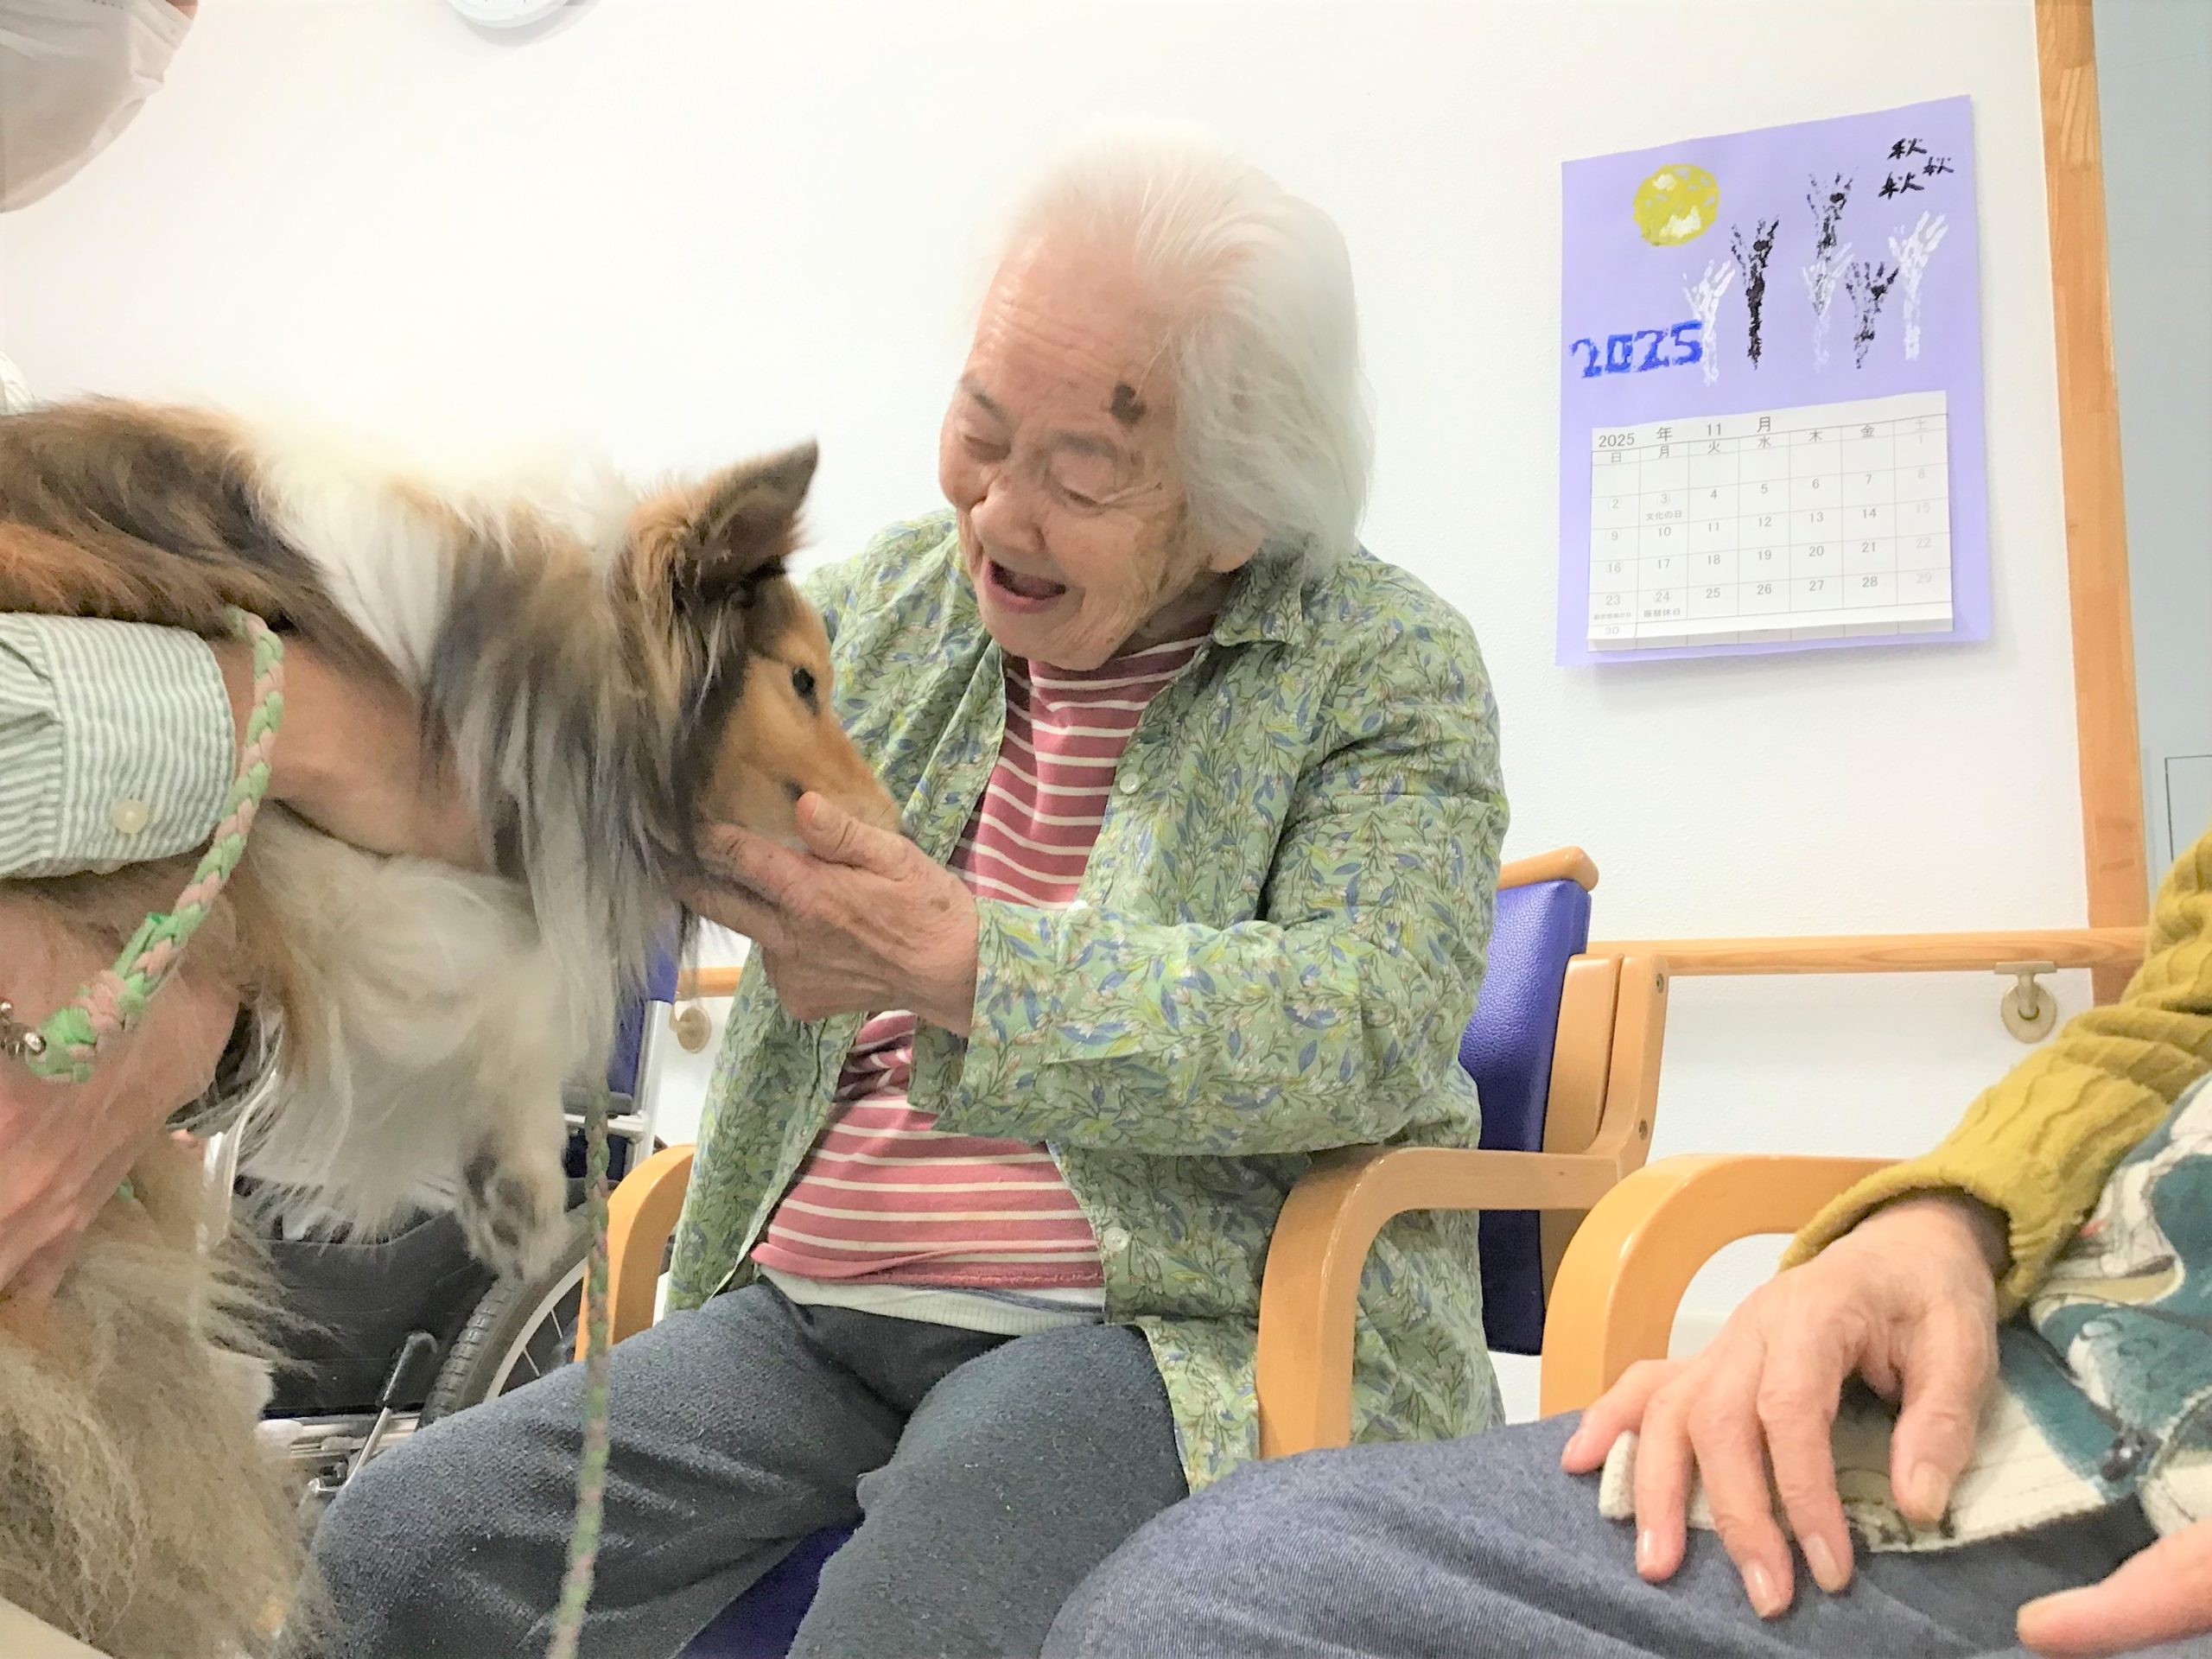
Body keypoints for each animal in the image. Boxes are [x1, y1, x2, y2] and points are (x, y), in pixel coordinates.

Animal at [0, 398, 899, 1655]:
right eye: (807, 682)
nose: (895, 827)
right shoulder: (305, 843)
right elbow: (518, 969)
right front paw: (514, 1176)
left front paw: (507, 1182)